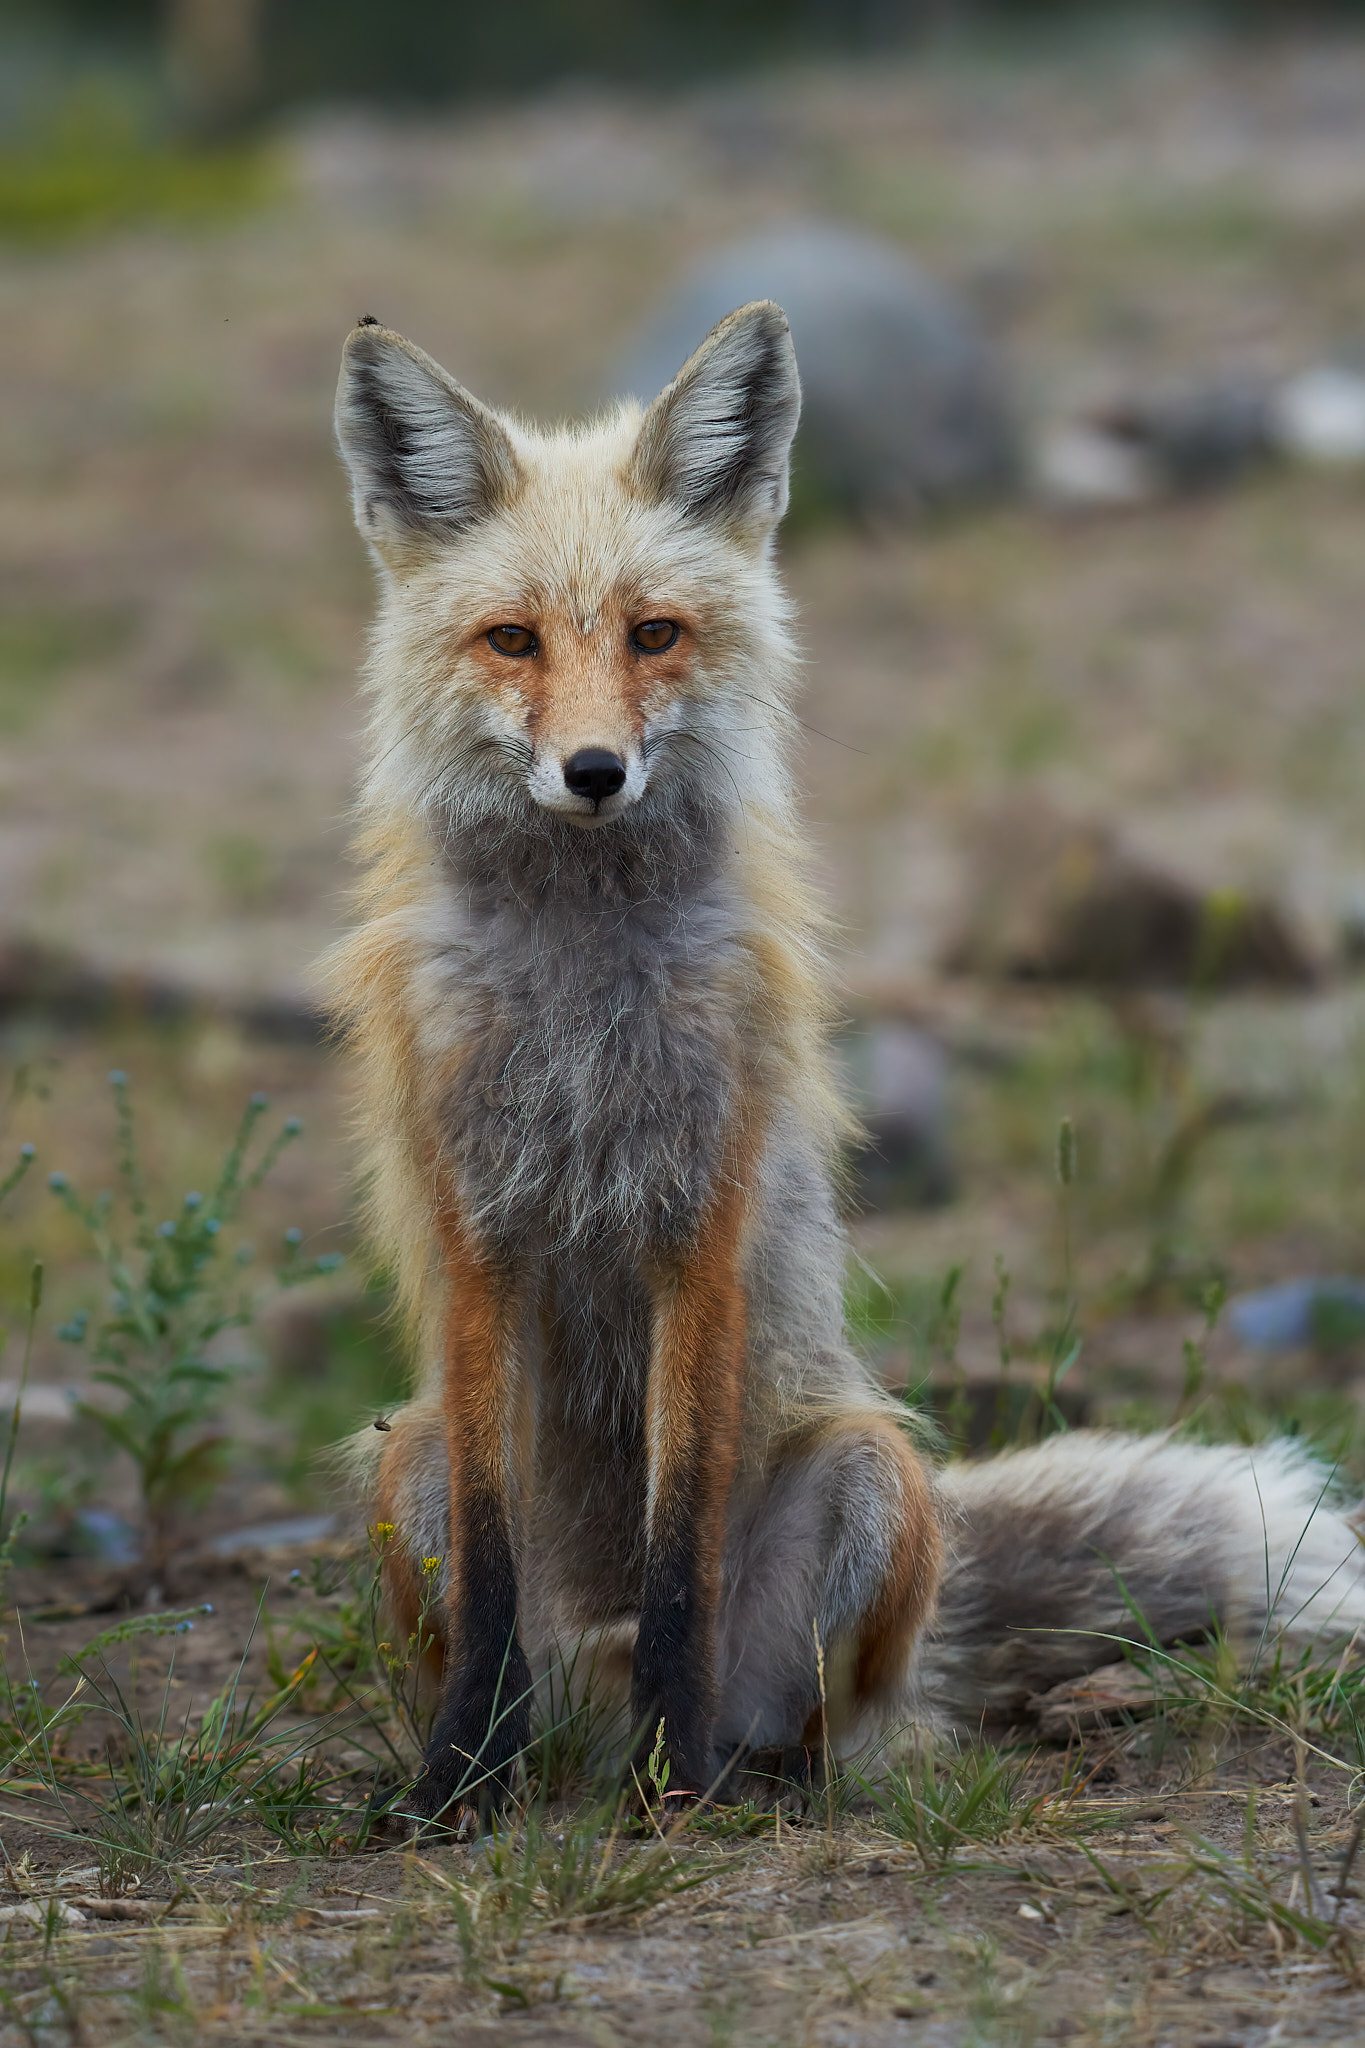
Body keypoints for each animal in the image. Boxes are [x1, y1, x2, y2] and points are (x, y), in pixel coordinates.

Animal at [326, 300, 1365, 1819]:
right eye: (511, 640)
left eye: (654, 633)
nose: (593, 770)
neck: (581, 980)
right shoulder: (475, 1233)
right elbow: (495, 1566)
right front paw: (457, 1783)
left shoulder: (700, 1217)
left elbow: (682, 1546)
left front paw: (676, 1785)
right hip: (404, 1451)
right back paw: (546, 1758)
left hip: (874, 1471)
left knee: (825, 1719)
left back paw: (733, 1772)